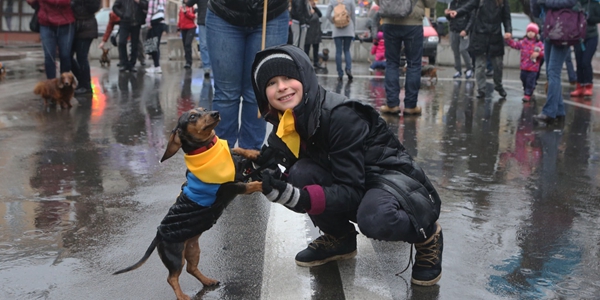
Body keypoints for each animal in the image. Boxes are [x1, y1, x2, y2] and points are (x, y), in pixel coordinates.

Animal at [113, 109, 262, 300]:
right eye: (192, 117)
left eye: (203, 110)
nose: (215, 113)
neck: (208, 149)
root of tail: (158, 234)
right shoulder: (231, 187)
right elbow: (250, 185)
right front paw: (264, 184)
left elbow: (244, 154)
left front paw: (251, 153)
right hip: (175, 256)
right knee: (172, 277)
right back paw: (183, 296)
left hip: (192, 248)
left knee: (191, 268)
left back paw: (207, 281)